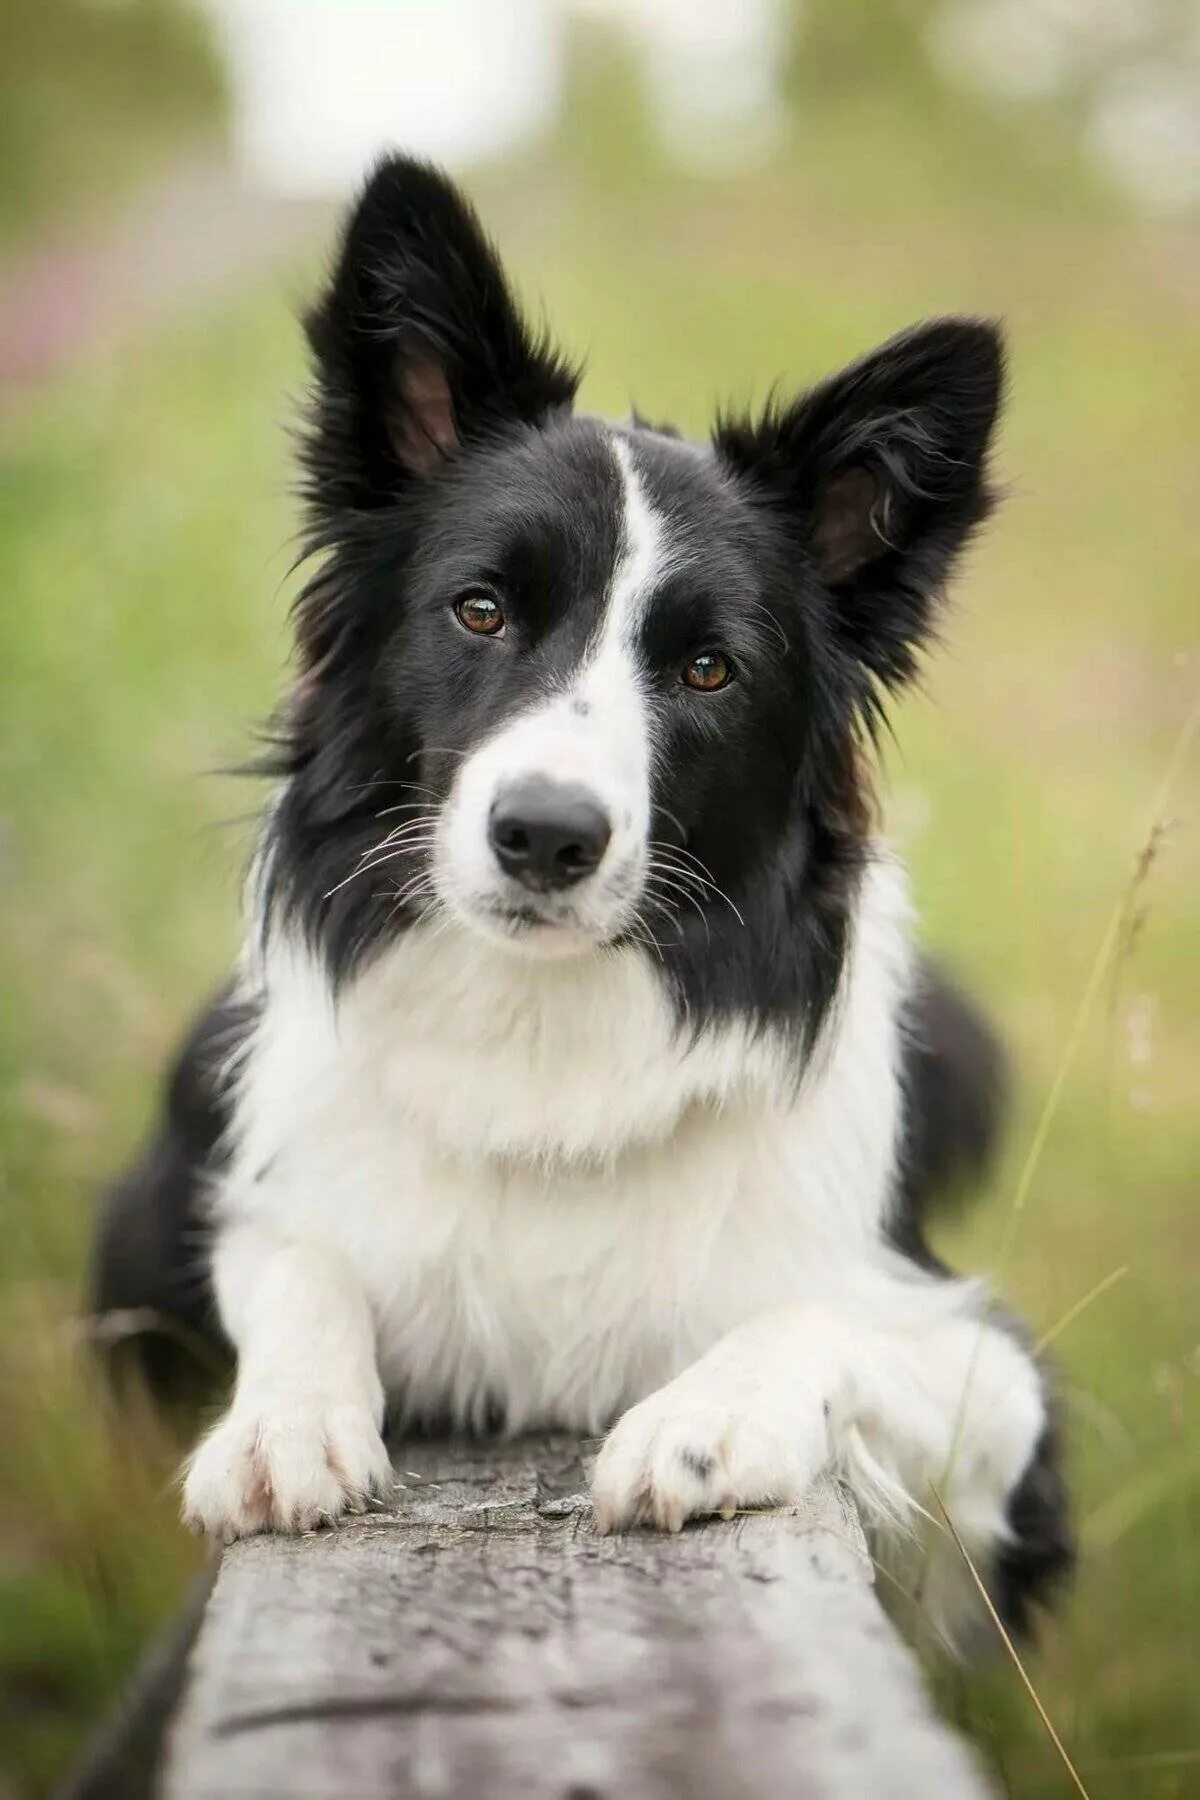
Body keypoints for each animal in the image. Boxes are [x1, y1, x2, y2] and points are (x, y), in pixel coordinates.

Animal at [91, 162, 1072, 1648]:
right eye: (481, 610)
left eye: (710, 671)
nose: (546, 835)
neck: (544, 1035)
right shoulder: (232, 1220)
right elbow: (297, 1256)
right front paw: (284, 1425)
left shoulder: (1002, 1389)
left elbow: (821, 1324)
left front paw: (701, 1425)